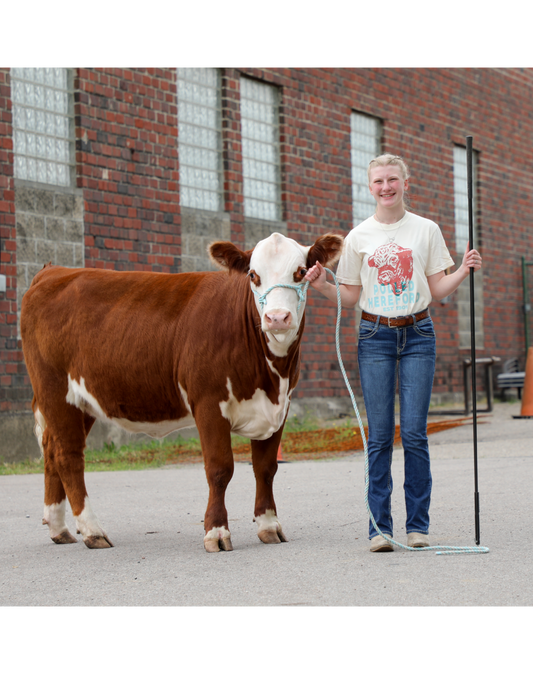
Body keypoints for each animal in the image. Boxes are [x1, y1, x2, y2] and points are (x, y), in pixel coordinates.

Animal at [20, 231, 340, 552]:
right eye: (252, 275)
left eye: (301, 272)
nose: (277, 318)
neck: (271, 374)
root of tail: (52, 271)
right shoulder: (208, 402)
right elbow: (220, 469)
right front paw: (216, 532)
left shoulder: (280, 406)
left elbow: (265, 468)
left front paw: (269, 525)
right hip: (55, 389)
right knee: (68, 455)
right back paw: (92, 530)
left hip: (83, 400)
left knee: (51, 449)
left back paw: (59, 528)